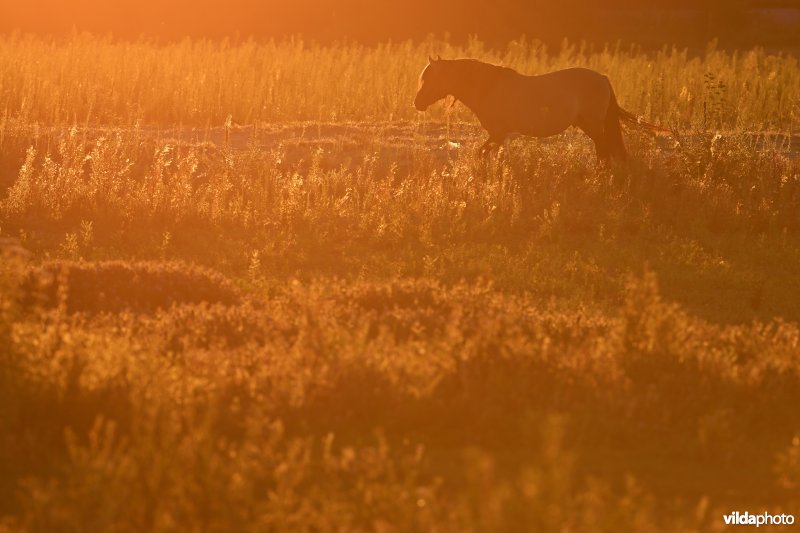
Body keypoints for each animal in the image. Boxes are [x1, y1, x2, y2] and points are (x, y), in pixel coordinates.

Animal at [412, 55, 664, 162]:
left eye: (431, 79)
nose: (417, 103)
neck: (489, 87)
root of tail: (602, 78)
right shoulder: (500, 136)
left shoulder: (498, 133)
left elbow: (482, 154)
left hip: (594, 126)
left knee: (606, 152)